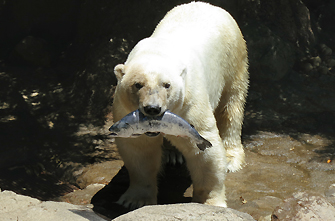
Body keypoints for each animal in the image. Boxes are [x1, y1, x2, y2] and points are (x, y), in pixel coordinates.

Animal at [113, 1, 249, 209]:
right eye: (138, 84)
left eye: (166, 85)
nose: (152, 109)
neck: (157, 53)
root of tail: (208, 5)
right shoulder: (125, 109)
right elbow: (139, 149)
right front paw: (135, 201)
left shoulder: (190, 102)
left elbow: (204, 148)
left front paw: (210, 202)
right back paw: (171, 154)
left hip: (232, 57)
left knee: (231, 105)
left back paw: (231, 158)